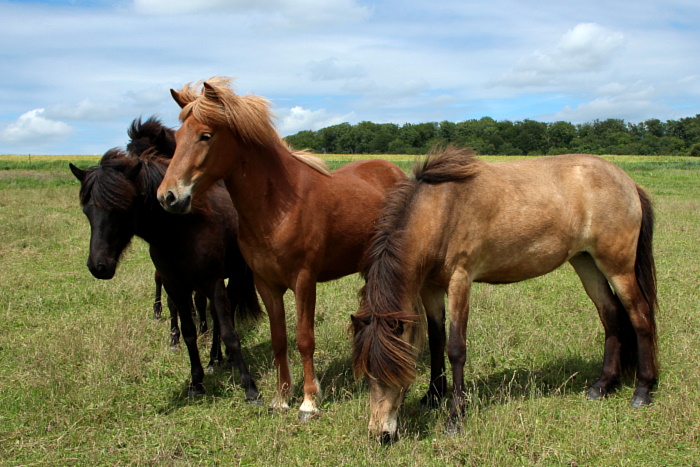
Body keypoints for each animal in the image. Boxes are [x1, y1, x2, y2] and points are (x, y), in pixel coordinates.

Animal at [71, 118, 262, 402]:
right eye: (87, 211)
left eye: (121, 208)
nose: (98, 265)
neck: (180, 229)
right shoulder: (176, 285)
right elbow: (189, 331)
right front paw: (196, 382)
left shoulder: (212, 281)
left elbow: (229, 331)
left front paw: (250, 387)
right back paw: (213, 358)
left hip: (236, 274)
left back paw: (222, 357)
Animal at [154, 77, 404, 420]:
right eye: (177, 138)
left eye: (205, 135)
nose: (168, 197)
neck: (278, 205)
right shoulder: (266, 284)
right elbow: (279, 339)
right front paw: (281, 397)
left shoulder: (304, 281)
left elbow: (304, 339)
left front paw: (309, 401)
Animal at [352, 146, 660, 442]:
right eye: (367, 374)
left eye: (392, 372)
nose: (380, 434)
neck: (442, 210)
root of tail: (629, 182)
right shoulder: (430, 287)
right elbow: (437, 340)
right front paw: (433, 396)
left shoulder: (460, 281)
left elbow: (456, 349)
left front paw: (455, 418)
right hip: (586, 262)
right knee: (611, 315)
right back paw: (602, 385)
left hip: (618, 267)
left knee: (640, 316)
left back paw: (642, 391)